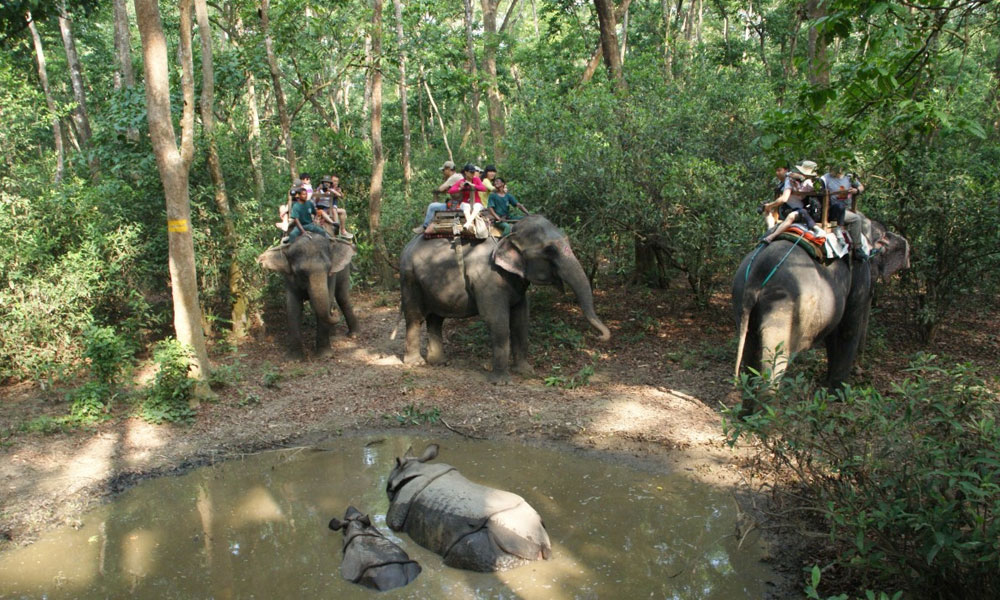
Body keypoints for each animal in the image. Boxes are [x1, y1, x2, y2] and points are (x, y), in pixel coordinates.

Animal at [384, 446, 556, 572]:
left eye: (388, 485)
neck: (415, 468)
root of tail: (541, 544)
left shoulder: (399, 509)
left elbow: (393, 522)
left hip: (503, 538)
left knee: (465, 549)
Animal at [398, 216, 608, 384]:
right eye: (549, 250)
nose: (599, 337)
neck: (509, 234)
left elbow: (521, 320)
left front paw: (526, 372)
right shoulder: (487, 276)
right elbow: (497, 320)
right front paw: (502, 382)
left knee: (436, 318)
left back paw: (439, 362)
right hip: (409, 278)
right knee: (415, 317)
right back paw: (416, 363)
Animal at [732, 218, 912, 410]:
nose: (861, 369)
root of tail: (757, 273)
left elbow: (834, 335)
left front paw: (829, 387)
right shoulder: (859, 274)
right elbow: (848, 329)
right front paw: (839, 394)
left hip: (741, 294)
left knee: (751, 347)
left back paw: (747, 413)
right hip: (785, 304)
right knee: (776, 355)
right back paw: (768, 413)